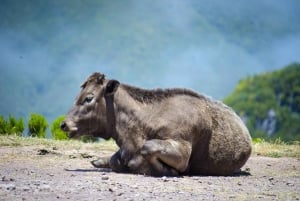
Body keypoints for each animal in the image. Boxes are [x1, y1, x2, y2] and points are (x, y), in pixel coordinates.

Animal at [60, 72, 251, 176]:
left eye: (88, 98)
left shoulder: (182, 148)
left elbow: (148, 147)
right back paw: (98, 161)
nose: (64, 124)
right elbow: (115, 160)